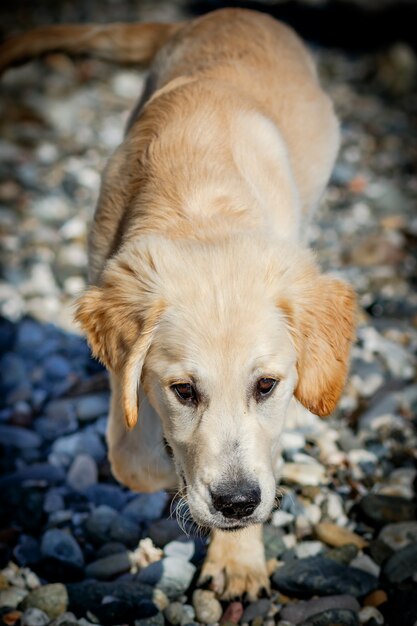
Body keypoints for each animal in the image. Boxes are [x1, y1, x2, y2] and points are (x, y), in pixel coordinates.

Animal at [1, 8, 356, 596]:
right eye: (184, 391)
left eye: (267, 386)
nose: (236, 504)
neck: (196, 201)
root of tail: (229, 13)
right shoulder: (122, 361)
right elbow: (131, 456)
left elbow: (260, 450)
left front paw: (237, 558)